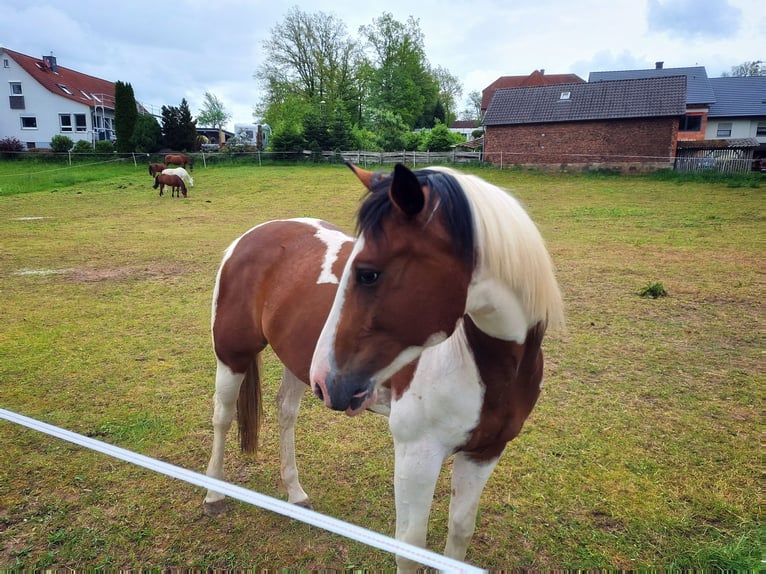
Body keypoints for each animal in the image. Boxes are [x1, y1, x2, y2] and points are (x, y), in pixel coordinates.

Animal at [204, 164, 564, 572]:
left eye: (367, 274)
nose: (329, 380)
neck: (490, 366)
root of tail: (251, 236)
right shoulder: (417, 455)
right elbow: (410, 545)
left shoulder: (485, 452)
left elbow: (460, 533)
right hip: (232, 354)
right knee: (222, 417)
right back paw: (214, 494)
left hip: (296, 365)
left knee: (286, 413)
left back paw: (296, 494)